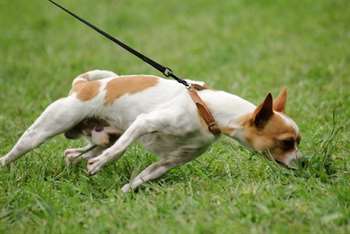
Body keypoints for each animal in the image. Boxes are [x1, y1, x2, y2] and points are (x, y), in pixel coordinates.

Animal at [0, 69, 300, 192]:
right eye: (287, 142)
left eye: (298, 142)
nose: (304, 162)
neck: (207, 109)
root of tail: (83, 85)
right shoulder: (144, 123)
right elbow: (120, 151)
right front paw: (102, 166)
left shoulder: (169, 162)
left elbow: (140, 180)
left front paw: (122, 194)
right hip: (43, 131)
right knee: (16, 152)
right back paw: (6, 167)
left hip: (102, 137)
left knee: (73, 153)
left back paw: (75, 163)